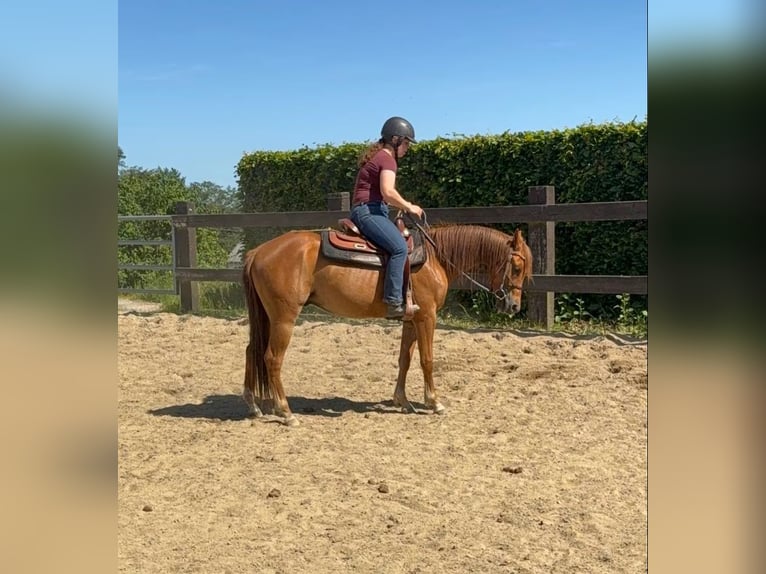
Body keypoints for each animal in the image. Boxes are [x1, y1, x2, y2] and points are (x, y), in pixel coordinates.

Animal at [241, 222, 534, 426]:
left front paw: (402, 400)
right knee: (272, 358)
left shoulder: (411, 319)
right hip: (284, 319)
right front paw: (434, 402)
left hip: (266, 317)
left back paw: (253, 406)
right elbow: (427, 359)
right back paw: (286, 412)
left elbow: (405, 358)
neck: (434, 258)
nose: (514, 307)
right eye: (517, 267)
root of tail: (258, 252)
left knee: (251, 351)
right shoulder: (427, 317)